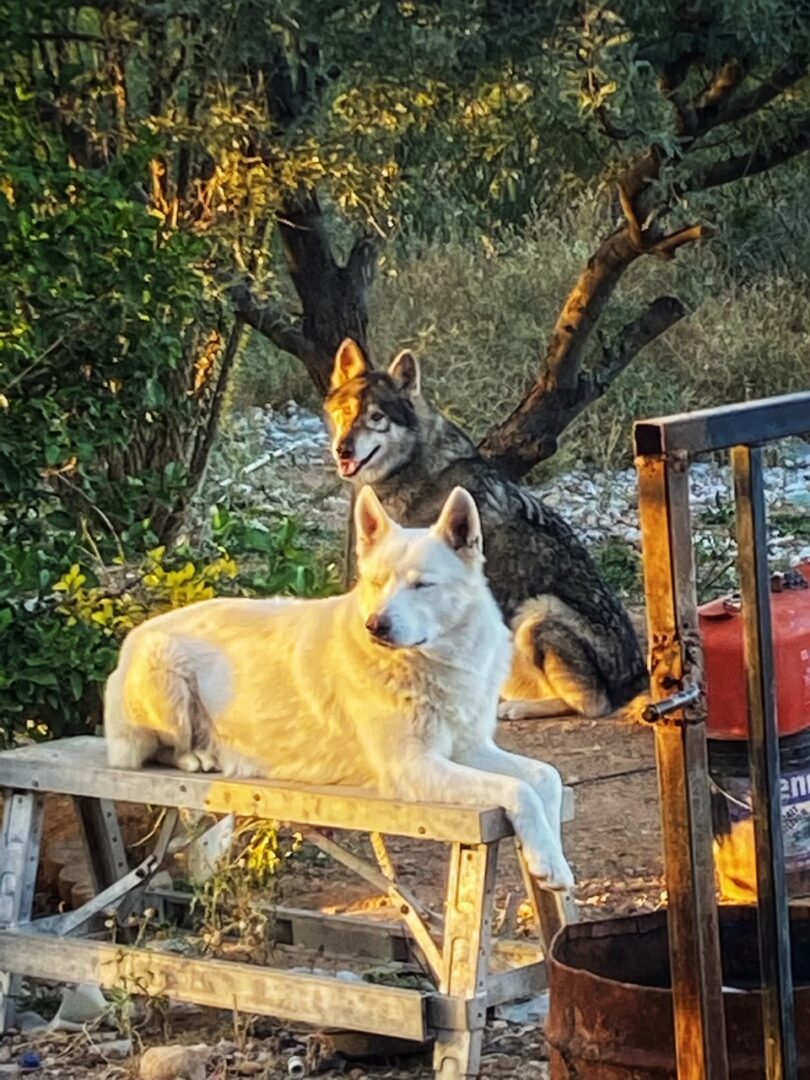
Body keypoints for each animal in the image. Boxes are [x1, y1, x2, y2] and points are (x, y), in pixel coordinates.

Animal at [104, 488, 574, 885]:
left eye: (422, 585)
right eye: (378, 583)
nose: (376, 625)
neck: (433, 662)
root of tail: (135, 634)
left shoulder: (469, 748)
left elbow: (545, 778)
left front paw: (551, 857)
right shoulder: (412, 766)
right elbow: (518, 789)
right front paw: (546, 862)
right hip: (165, 674)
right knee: (159, 750)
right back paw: (199, 755)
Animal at [326, 341, 652, 721]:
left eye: (377, 418)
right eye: (346, 413)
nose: (343, 449)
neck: (414, 471)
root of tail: (636, 677)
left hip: (536, 613)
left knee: (592, 705)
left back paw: (517, 707)